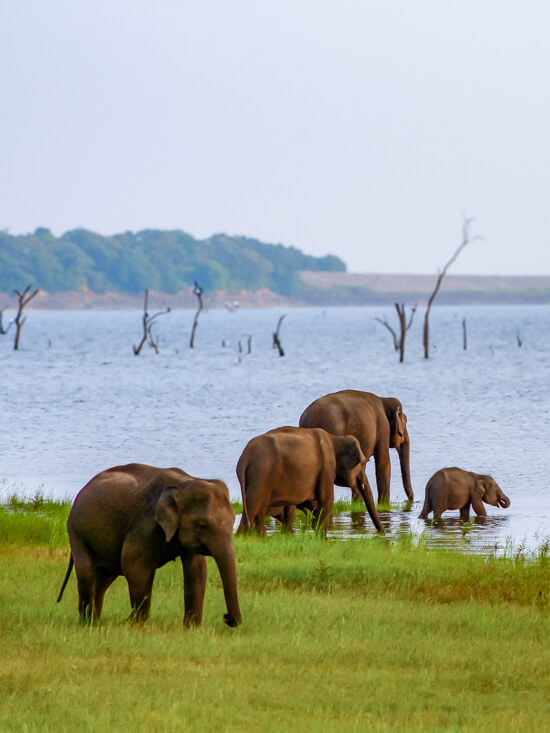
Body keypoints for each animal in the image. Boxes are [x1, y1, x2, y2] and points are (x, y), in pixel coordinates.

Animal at [57, 463, 241, 627]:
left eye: (233, 521)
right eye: (203, 525)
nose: (226, 617)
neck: (184, 483)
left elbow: (197, 570)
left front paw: (191, 628)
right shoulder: (145, 523)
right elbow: (136, 568)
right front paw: (136, 625)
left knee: (104, 578)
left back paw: (95, 622)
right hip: (76, 532)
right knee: (86, 573)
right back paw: (88, 623)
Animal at [236, 426, 382, 535]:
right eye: (361, 463)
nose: (382, 533)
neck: (334, 438)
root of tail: (245, 456)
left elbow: (314, 503)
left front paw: (314, 522)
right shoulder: (327, 467)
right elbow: (326, 500)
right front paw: (321, 537)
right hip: (261, 475)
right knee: (253, 506)